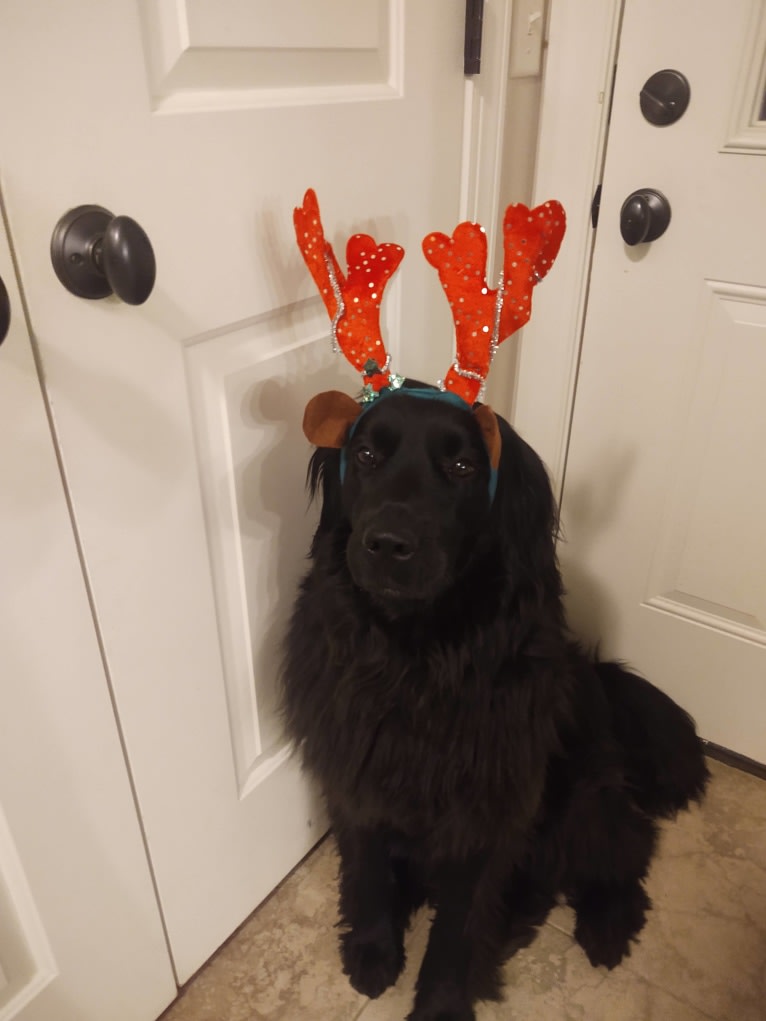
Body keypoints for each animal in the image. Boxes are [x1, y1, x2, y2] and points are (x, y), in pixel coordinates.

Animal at [283, 387, 714, 1021]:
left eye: (463, 467)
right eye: (364, 455)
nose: (387, 544)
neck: (415, 659)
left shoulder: (488, 806)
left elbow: (458, 927)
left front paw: (440, 1003)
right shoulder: (357, 769)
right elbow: (367, 868)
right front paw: (373, 948)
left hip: (582, 798)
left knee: (626, 848)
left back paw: (604, 925)